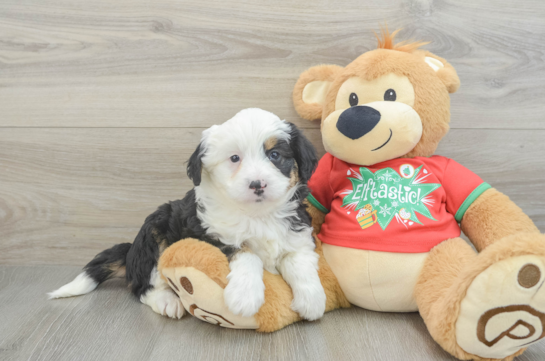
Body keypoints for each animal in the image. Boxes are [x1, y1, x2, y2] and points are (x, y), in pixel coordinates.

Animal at [49, 107, 326, 320]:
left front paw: (312, 300)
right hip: (154, 232)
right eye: (234, 158)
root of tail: (130, 253)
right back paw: (167, 301)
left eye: (275, 155)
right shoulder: (209, 234)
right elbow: (246, 253)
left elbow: (300, 262)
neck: (258, 215)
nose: (257, 184)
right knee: (142, 286)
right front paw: (245, 296)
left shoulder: (298, 235)